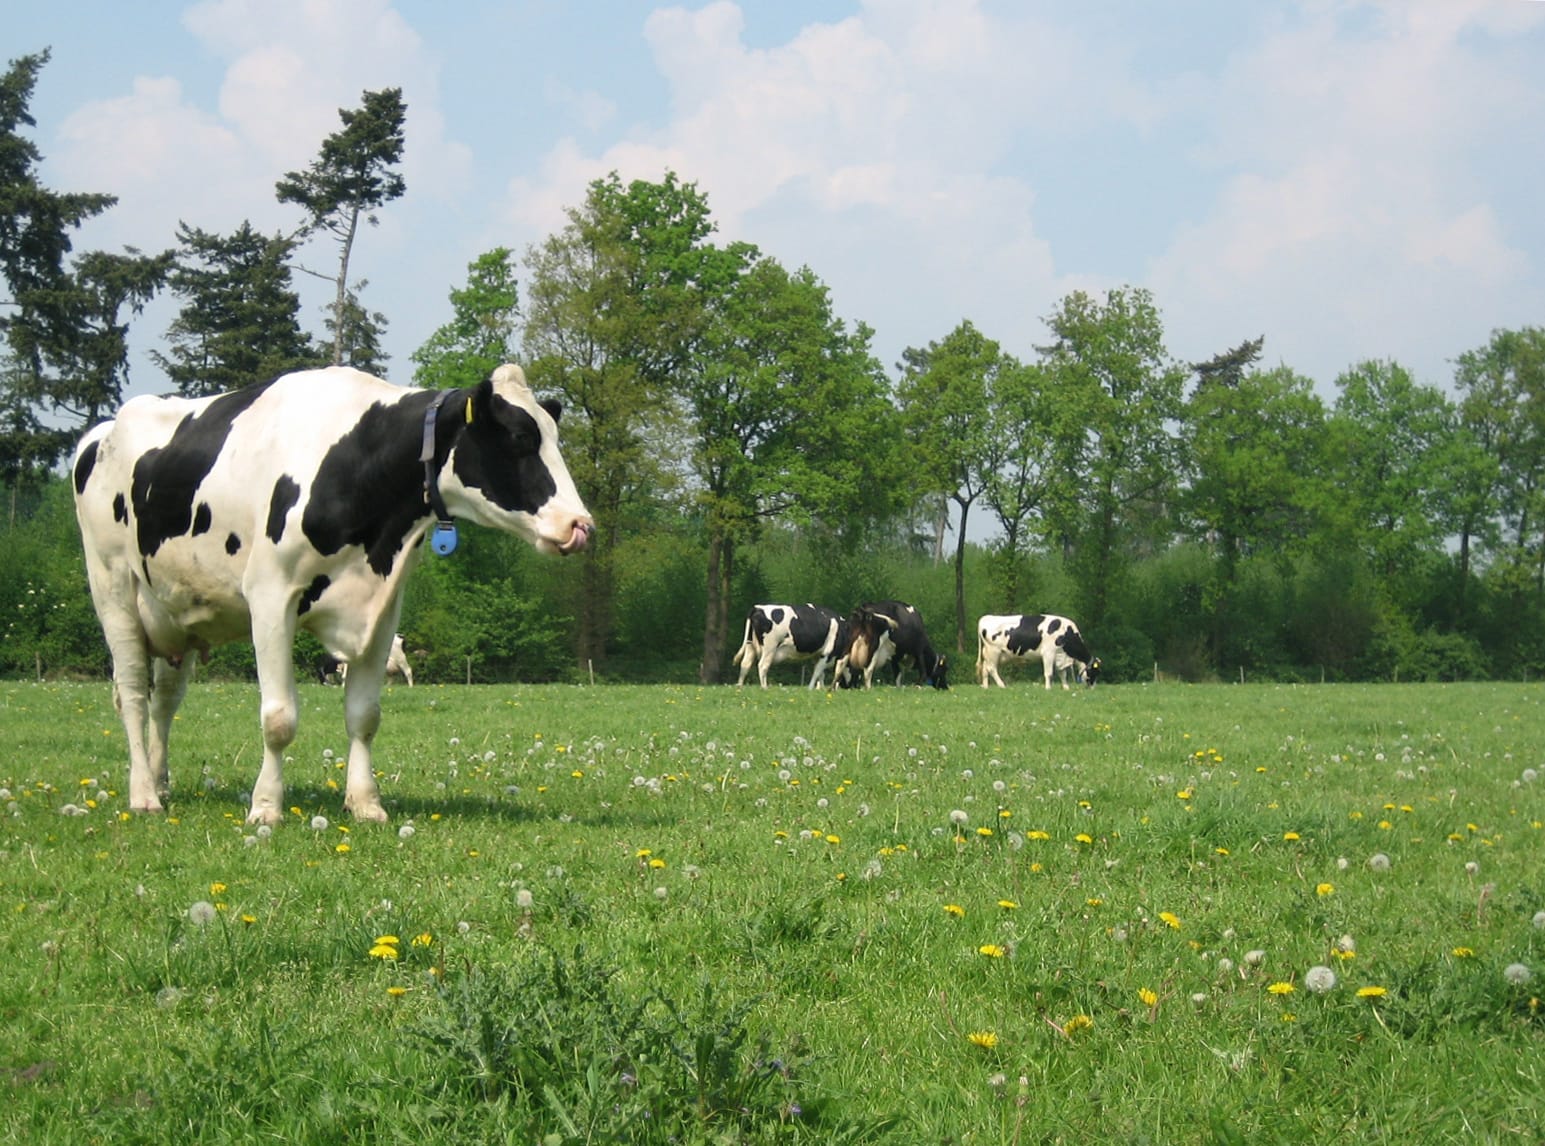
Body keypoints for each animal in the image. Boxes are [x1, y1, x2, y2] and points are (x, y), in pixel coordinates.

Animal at [72, 362, 593, 821]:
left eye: (554, 437)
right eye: (521, 438)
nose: (580, 525)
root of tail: (101, 432)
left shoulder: (383, 610)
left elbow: (364, 715)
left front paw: (364, 803)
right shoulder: (270, 594)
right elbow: (279, 718)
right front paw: (266, 808)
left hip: (174, 615)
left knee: (164, 701)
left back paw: (160, 781)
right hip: (112, 587)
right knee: (132, 694)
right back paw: (144, 795)